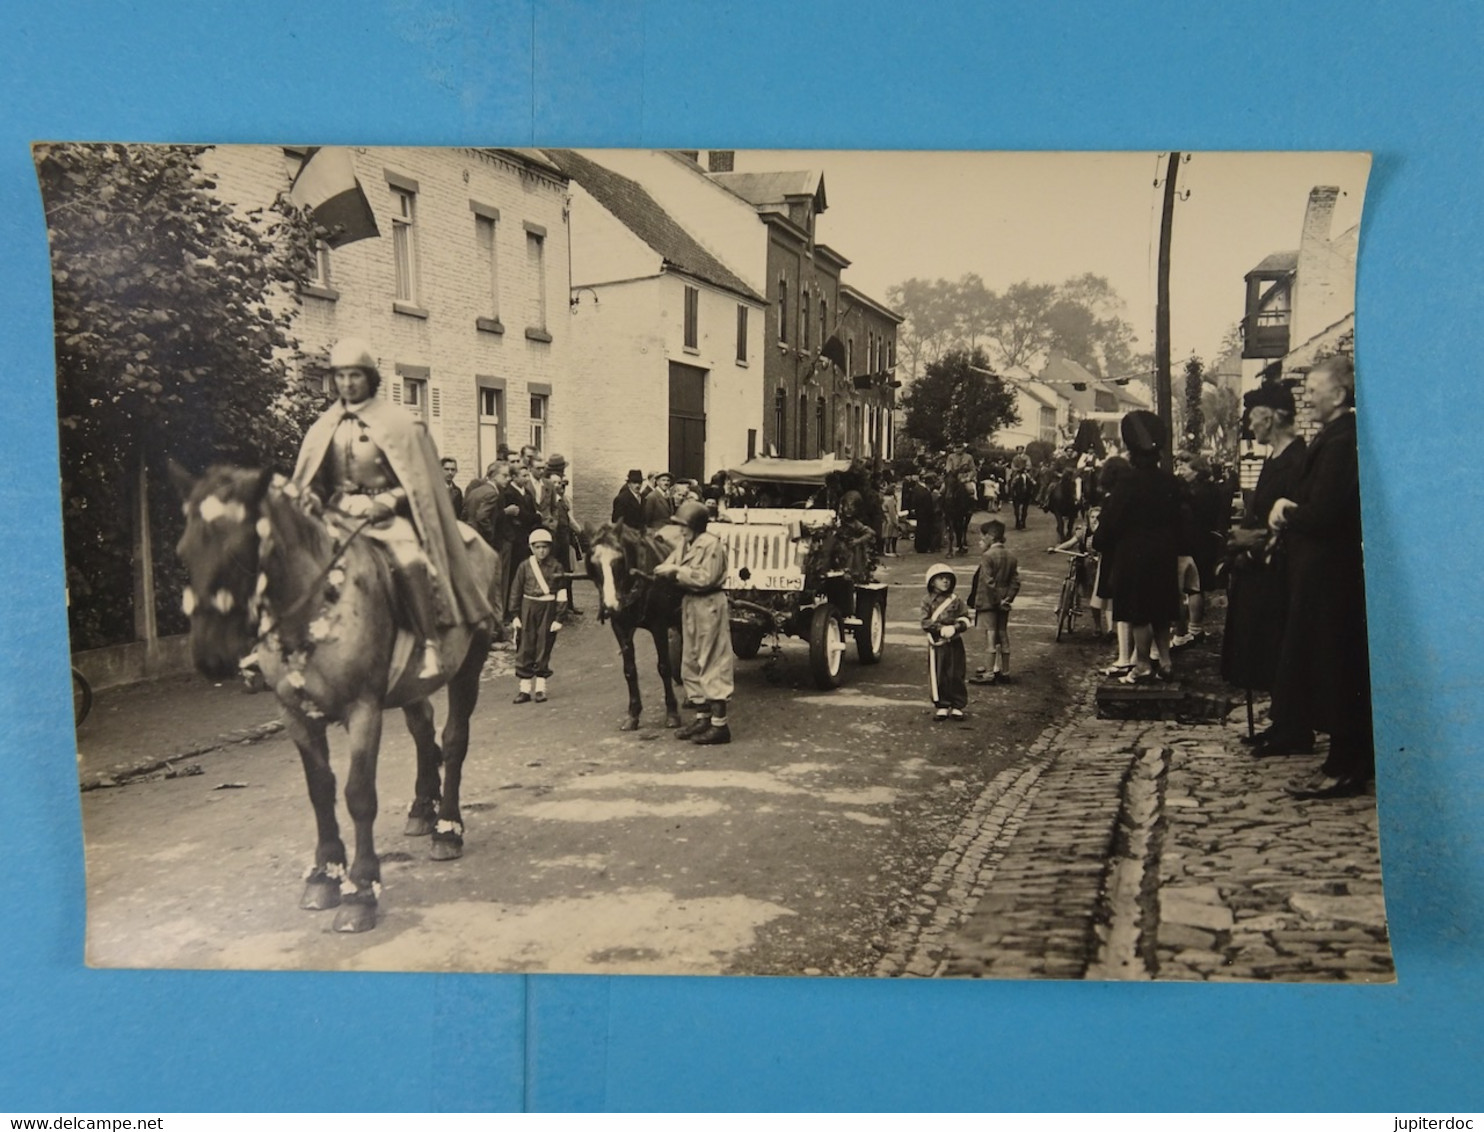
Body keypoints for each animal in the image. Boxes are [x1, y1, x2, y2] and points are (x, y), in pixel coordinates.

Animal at [171, 465, 501, 931]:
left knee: (454, 739)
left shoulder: (363, 710)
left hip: (471, 661)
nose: (210, 656)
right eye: (184, 551)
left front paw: (361, 890)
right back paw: (422, 809)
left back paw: (447, 828)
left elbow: (359, 795)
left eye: (240, 549)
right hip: (410, 687)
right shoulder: (295, 714)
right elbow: (320, 790)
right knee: (423, 730)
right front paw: (324, 874)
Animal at [587, 522, 685, 735]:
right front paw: (633, 714)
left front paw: (672, 713)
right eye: (594, 564)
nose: (610, 606)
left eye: (619, 560)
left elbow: (664, 667)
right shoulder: (620, 627)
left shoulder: (659, 626)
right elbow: (629, 670)